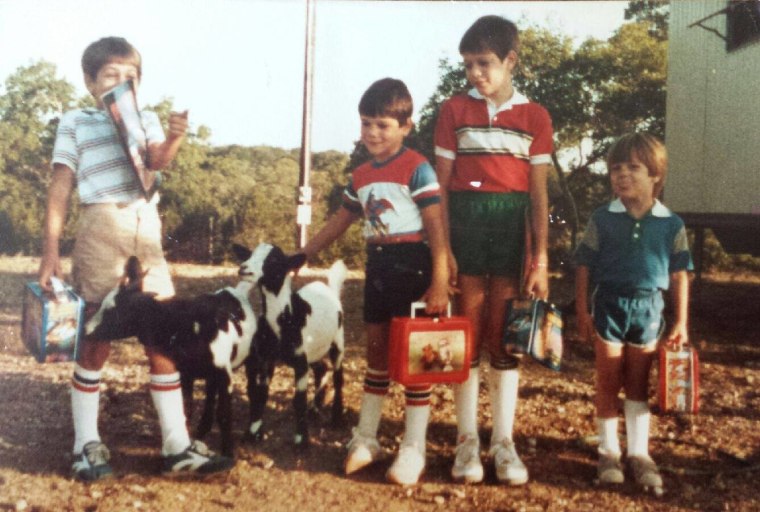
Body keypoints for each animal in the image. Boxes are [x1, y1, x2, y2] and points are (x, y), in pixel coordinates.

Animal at [82, 249, 255, 456]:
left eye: (114, 311)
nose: (85, 330)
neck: (188, 324)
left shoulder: (224, 373)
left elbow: (224, 414)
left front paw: (228, 452)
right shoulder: (186, 372)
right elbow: (186, 408)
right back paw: (202, 431)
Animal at [238, 244, 348, 448]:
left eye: (274, 259)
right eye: (250, 254)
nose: (244, 268)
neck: (286, 317)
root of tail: (329, 289)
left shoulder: (299, 362)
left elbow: (299, 400)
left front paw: (301, 439)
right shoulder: (268, 358)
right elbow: (261, 394)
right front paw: (252, 432)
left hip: (338, 340)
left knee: (338, 375)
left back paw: (336, 418)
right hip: (313, 351)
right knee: (322, 368)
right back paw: (315, 408)